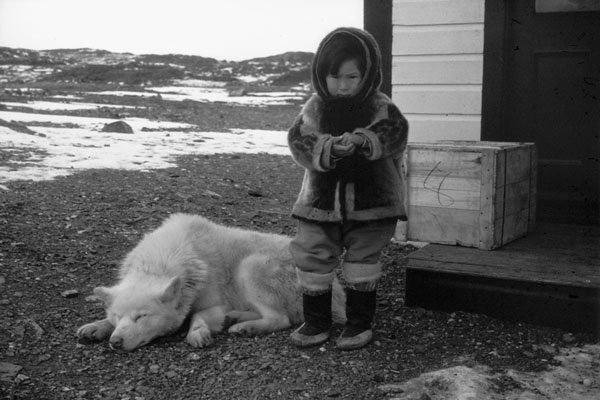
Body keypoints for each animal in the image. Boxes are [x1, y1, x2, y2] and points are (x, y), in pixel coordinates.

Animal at [77, 214, 344, 352]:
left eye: (142, 317)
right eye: (117, 316)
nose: (116, 343)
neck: (161, 261)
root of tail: (338, 291)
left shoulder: (215, 304)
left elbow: (197, 317)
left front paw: (197, 333)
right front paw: (96, 326)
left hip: (249, 267)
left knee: (281, 319)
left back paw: (246, 327)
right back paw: (236, 318)